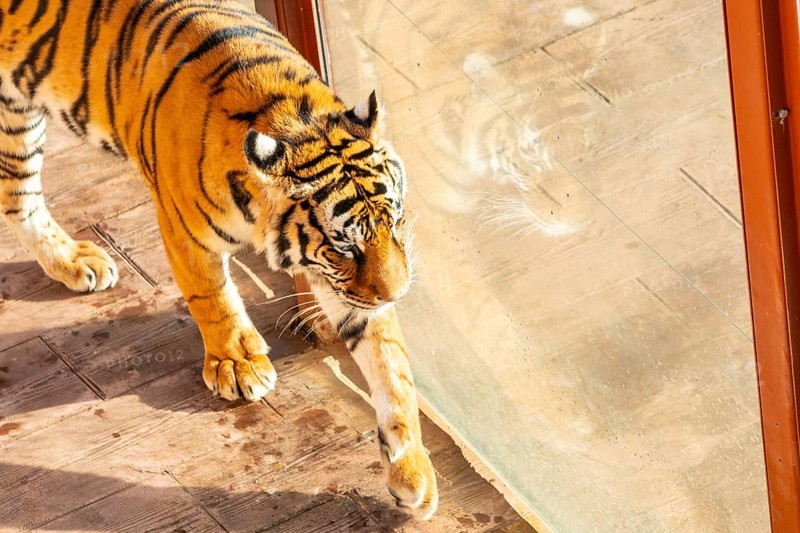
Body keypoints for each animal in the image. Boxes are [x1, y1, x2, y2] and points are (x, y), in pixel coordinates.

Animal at [0, 0, 437, 520]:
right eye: (342, 246)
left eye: (396, 221)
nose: (399, 293)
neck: (291, 117)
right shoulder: (184, 228)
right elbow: (211, 297)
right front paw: (237, 365)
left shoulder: (350, 290)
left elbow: (391, 364)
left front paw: (412, 471)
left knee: (16, 195)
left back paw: (73, 260)